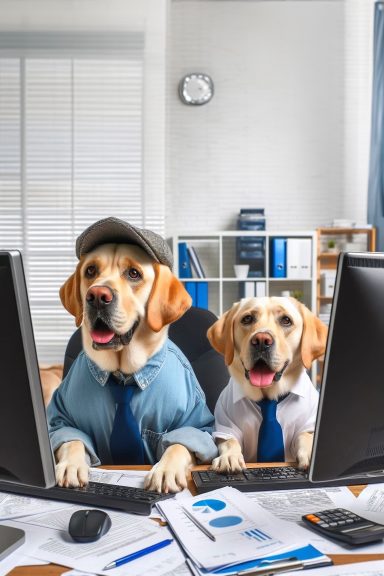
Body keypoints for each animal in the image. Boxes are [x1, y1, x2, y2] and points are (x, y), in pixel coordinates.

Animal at [47, 216, 216, 490]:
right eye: (90, 271)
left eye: (134, 273)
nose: (97, 295)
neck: (123, 375)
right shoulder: (62, 419)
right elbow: (72, 440)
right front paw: (72, 465)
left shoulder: (197, 425)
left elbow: (179, 444)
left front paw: (165, 470)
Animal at [207, 296, 328, 472]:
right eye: (247, 319)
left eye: (286, 320)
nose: (261, 340)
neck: (268, 398)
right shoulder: (225, 426)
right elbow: (230, 441)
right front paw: (229, 457)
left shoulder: (309, 424)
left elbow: (306, 436)